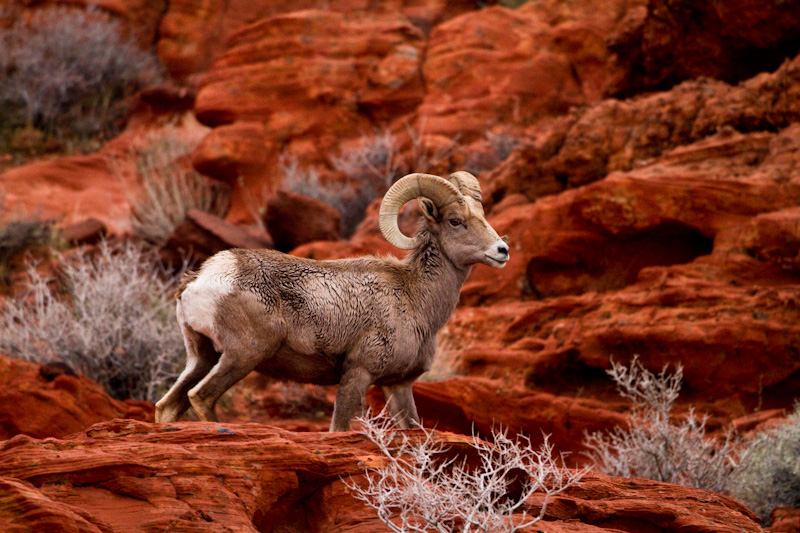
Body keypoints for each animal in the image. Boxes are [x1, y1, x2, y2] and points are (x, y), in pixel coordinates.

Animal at [155, 170, 506, 428]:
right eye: (455, 221)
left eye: (483, 216)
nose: (502, 250)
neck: (416, 298)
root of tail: (200, 280)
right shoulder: (357, 374)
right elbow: (340, 428)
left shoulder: (398, 386)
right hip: (241, 355)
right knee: (201, 398)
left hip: (201, 358)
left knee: (168, 406)